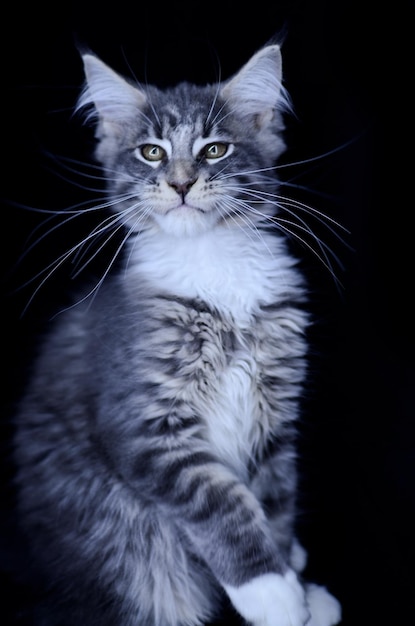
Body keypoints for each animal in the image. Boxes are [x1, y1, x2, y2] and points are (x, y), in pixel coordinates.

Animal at [12, 41, 344, 620]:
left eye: (214, 150)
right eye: (151, 153)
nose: (182, 182)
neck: (212, 263)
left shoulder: (275, 417)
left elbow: (275, 504)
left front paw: (298, 591)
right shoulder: (143, 426)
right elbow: (221, 503)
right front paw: (273, 595)